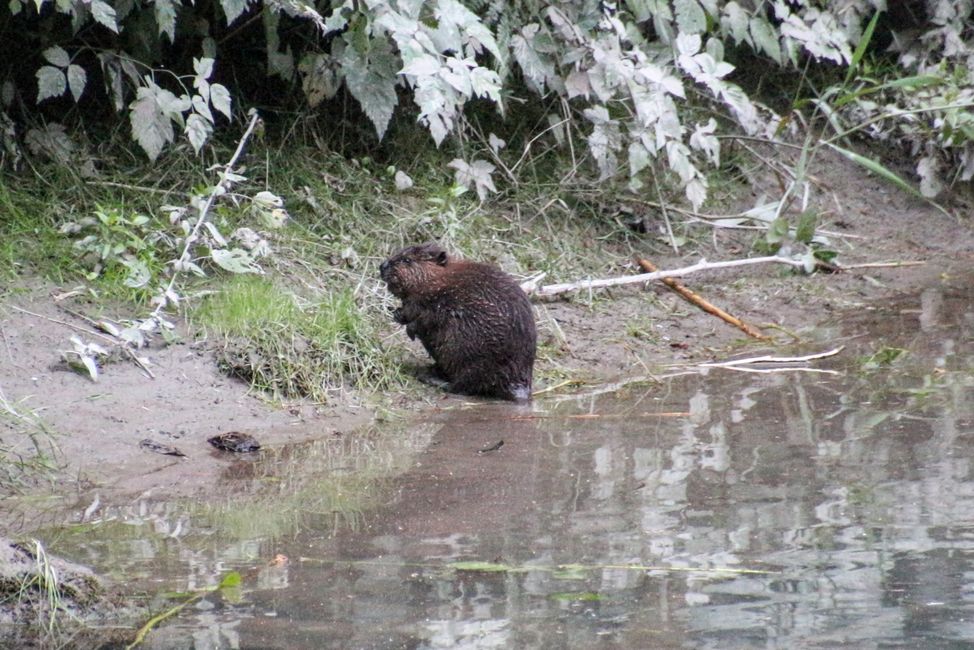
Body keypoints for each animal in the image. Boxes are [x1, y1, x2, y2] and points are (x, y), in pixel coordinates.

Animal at [382, 243, 536, 400]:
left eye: (407, 260)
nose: (382, 266)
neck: (444, 280)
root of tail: (520, 387)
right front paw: (397, 314)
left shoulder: (450, 301)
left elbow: (432, 317)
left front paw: (411, 329)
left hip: (469, 354)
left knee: (463, 385)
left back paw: (430, 378)